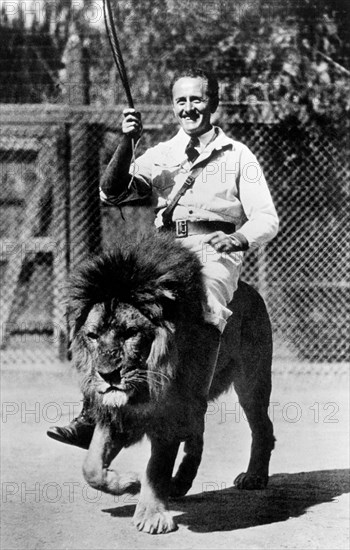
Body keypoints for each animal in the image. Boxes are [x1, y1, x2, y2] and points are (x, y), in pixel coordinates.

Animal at [69, 232, 274, 536]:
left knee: (262, 428)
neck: (146, 381)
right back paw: (179, 483)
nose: (108, 375)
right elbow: (91, 467)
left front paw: (152, 515)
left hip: (251, 382)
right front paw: (129, 482)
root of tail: (251, 289)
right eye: (93, 335)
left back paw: (254, 477)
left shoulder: (169, 410)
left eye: (131, 333)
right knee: (197, 437)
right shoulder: (114, 412)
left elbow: (157, 467)